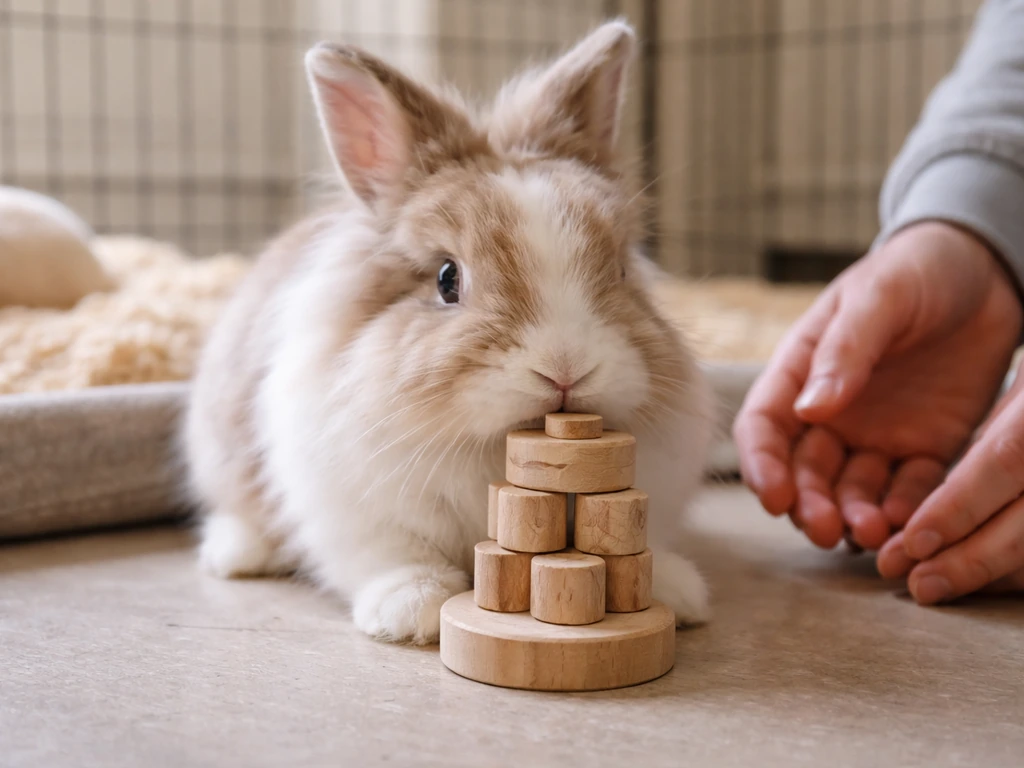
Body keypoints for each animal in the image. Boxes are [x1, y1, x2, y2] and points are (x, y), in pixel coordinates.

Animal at [183, 19, 716, 645]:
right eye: (446, 279)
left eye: (622, 271)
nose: (566, 368)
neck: (487, 452)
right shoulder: (354, 509)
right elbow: (390, 553)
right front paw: (411, 608)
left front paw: (678, 593)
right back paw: (235, 554)